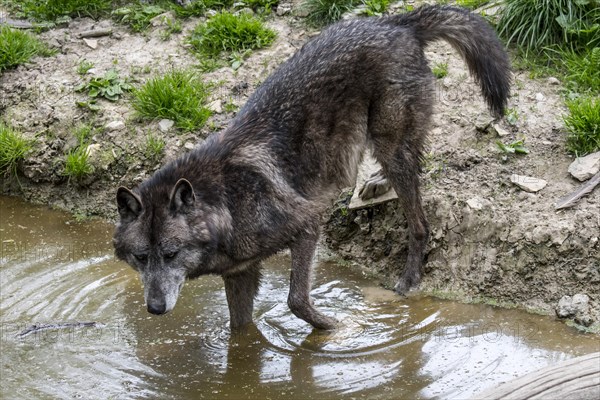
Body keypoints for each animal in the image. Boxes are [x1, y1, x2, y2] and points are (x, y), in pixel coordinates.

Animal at [113, 6, 510, 330]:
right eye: (141, 258)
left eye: (171, 255)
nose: (155, 308)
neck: (226, 201)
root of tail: (395, 23)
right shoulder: (240, 275)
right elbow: (240, 333)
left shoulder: (307, 225)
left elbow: (296, 300)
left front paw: (335, 328)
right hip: (386, 145)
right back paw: (378, 182)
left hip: (391, 144)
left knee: (420, 223)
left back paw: (409, 279)